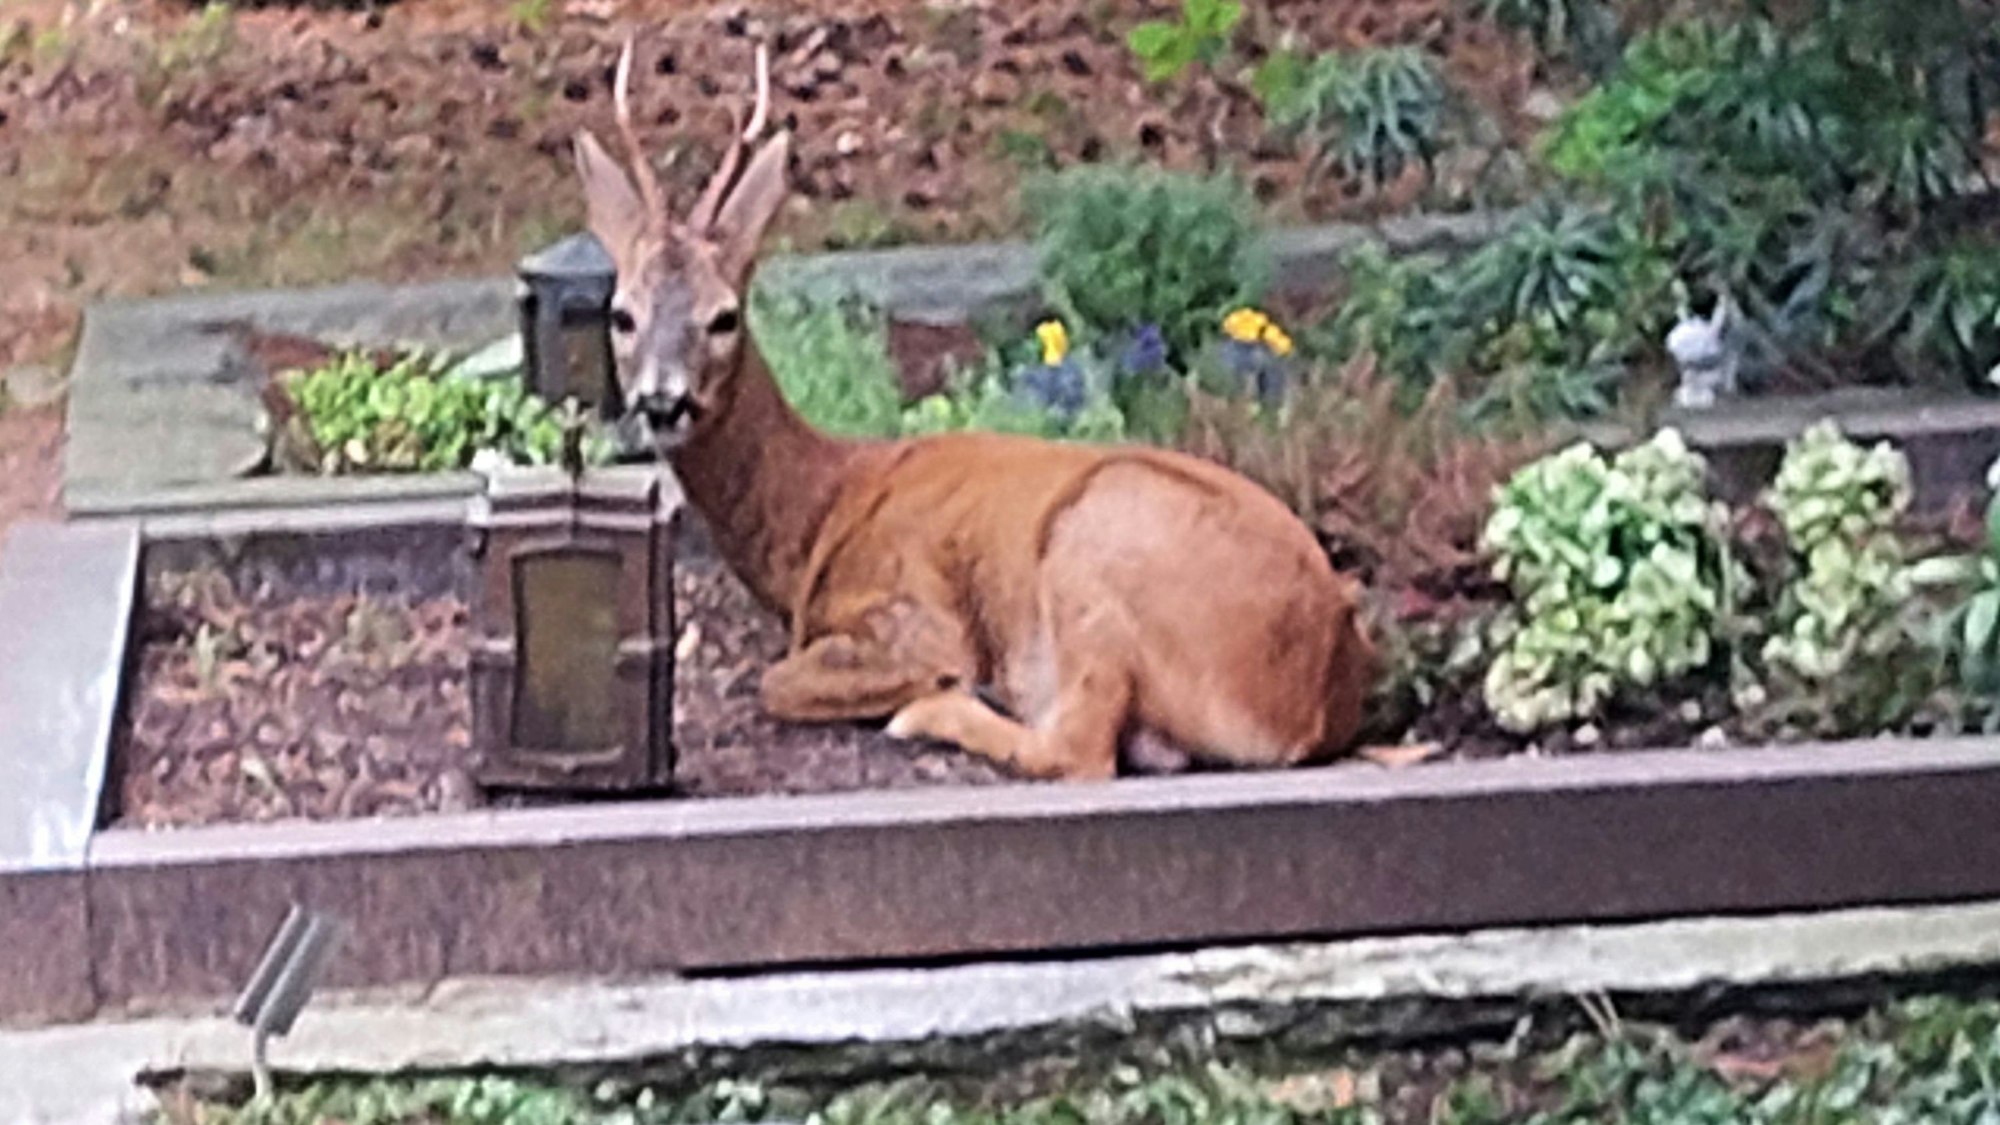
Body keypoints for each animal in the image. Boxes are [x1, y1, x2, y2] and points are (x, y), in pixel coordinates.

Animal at [571, 38, 1378, 781]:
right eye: (621, 315)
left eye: (724, 317)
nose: (664, 400)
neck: (817, 512)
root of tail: (1313, 697)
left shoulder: (915, 614)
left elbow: (780, 681)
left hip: (1096, 546)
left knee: (1079, 749)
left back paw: (942, 707)